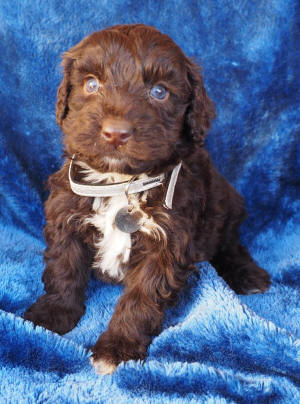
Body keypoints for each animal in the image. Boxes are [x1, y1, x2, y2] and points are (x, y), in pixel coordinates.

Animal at [24, 23, 270, 374]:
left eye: (159, 92)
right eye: (91, 84)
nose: (115, 132)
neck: (120, 182)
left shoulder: (167, 239)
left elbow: (142, 297)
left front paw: (117, 347)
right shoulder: (65, 212)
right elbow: (63, 267)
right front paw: (52, 313)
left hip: (225, 204)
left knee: (230, 244)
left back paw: (248, 275)